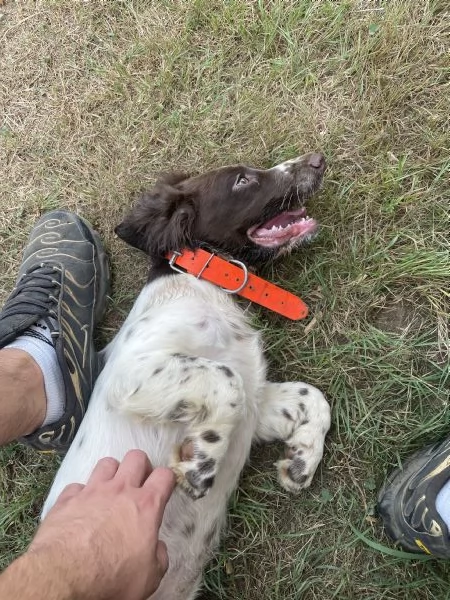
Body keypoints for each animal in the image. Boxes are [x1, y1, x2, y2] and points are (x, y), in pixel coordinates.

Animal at [42, 154, 330, 600]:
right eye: (242, 180)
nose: (316, 160)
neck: (204, 286)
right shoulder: (132, 371)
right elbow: (225, 379)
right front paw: (201, 461)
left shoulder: (256, 401)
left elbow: (313, 396)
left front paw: (302, 460)